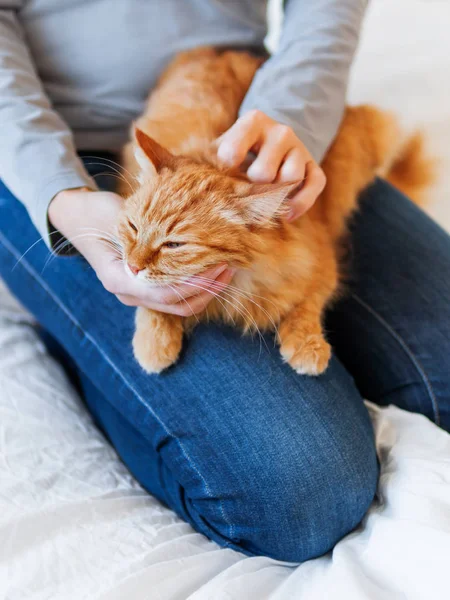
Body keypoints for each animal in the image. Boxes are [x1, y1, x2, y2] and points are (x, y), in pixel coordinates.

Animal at [117, 48, 432, 376]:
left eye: (174, 245)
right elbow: (151, 303)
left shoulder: (320, 260)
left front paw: (307, 343)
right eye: (133, 227)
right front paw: (154, 341)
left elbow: (309, 301)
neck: (243, 279)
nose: (132, 266)